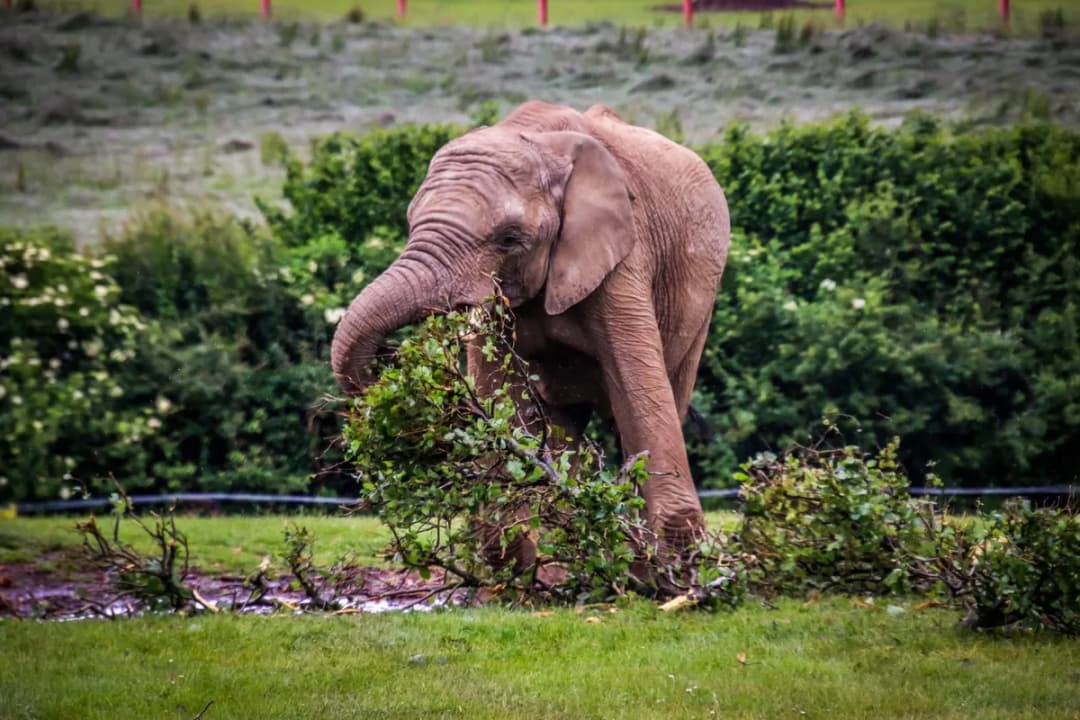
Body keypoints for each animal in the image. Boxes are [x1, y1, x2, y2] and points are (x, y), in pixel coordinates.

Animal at [331, 100, 730, 559]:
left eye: (509, 239)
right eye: (411, 224)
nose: (389, 356)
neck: (537, 142)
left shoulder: (622, 253)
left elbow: (640, 391)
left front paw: (678, 561)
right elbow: (499, 398)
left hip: (699, 308)